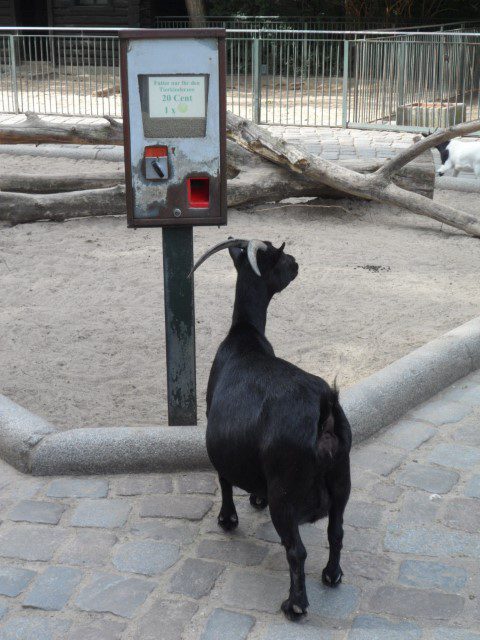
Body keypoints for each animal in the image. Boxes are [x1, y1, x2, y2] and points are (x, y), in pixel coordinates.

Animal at [191, 238, 352, 616]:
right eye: (279, 261)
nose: (296, 262)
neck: (244, 336)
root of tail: (325, 414)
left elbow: (223, 478)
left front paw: (228, 520)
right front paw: (255, 498)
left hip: (286, 494)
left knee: (296, 550)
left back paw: (294, 605)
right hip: (342, 482)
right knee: (336, 532)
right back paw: (332, 576)